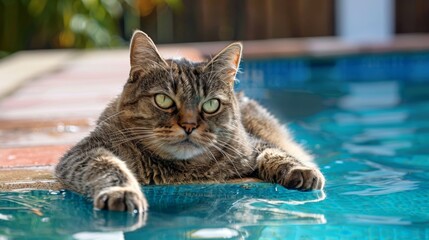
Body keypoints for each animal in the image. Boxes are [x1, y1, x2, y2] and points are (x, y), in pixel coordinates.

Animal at [56, 30, 324, 212]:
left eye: (211, 105)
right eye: (164, 100)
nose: (189, 126)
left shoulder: (253, 145)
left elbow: (275, 153)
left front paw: (301, 170)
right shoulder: (85, 152)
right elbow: (109, 166)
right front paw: (122, 191)